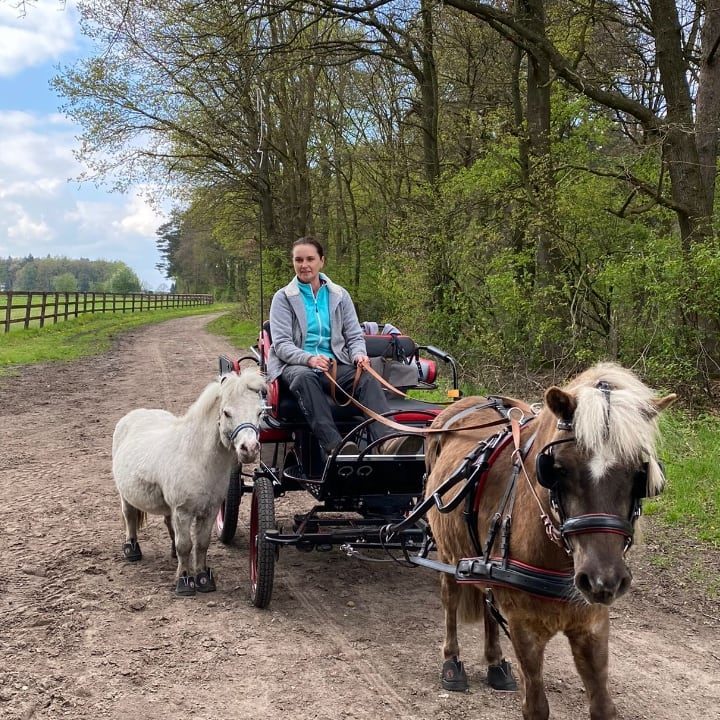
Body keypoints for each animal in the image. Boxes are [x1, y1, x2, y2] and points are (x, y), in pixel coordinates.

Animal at [112, 366, 268, 596]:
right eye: (226, 412)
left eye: (259, 412)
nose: (249, 449)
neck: (196, 459)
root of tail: (134, 414)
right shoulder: (183, 511)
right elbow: (185, 545)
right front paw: (184, 580)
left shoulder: (210, 510)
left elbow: (201, 544)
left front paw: (203, 578)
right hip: (126, 495)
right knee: (129, 516)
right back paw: (132, 549)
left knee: (168, 524)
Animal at [422, 362, 676, 720]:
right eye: (559, 468)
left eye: (640, 473)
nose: (603, 579)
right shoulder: (524, 627)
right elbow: (536, 706)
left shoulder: (592, 625)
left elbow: (603, 705)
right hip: (446, 552)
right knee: (451, 599)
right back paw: (451, 661)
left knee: (486, 599)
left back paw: (495, 662)